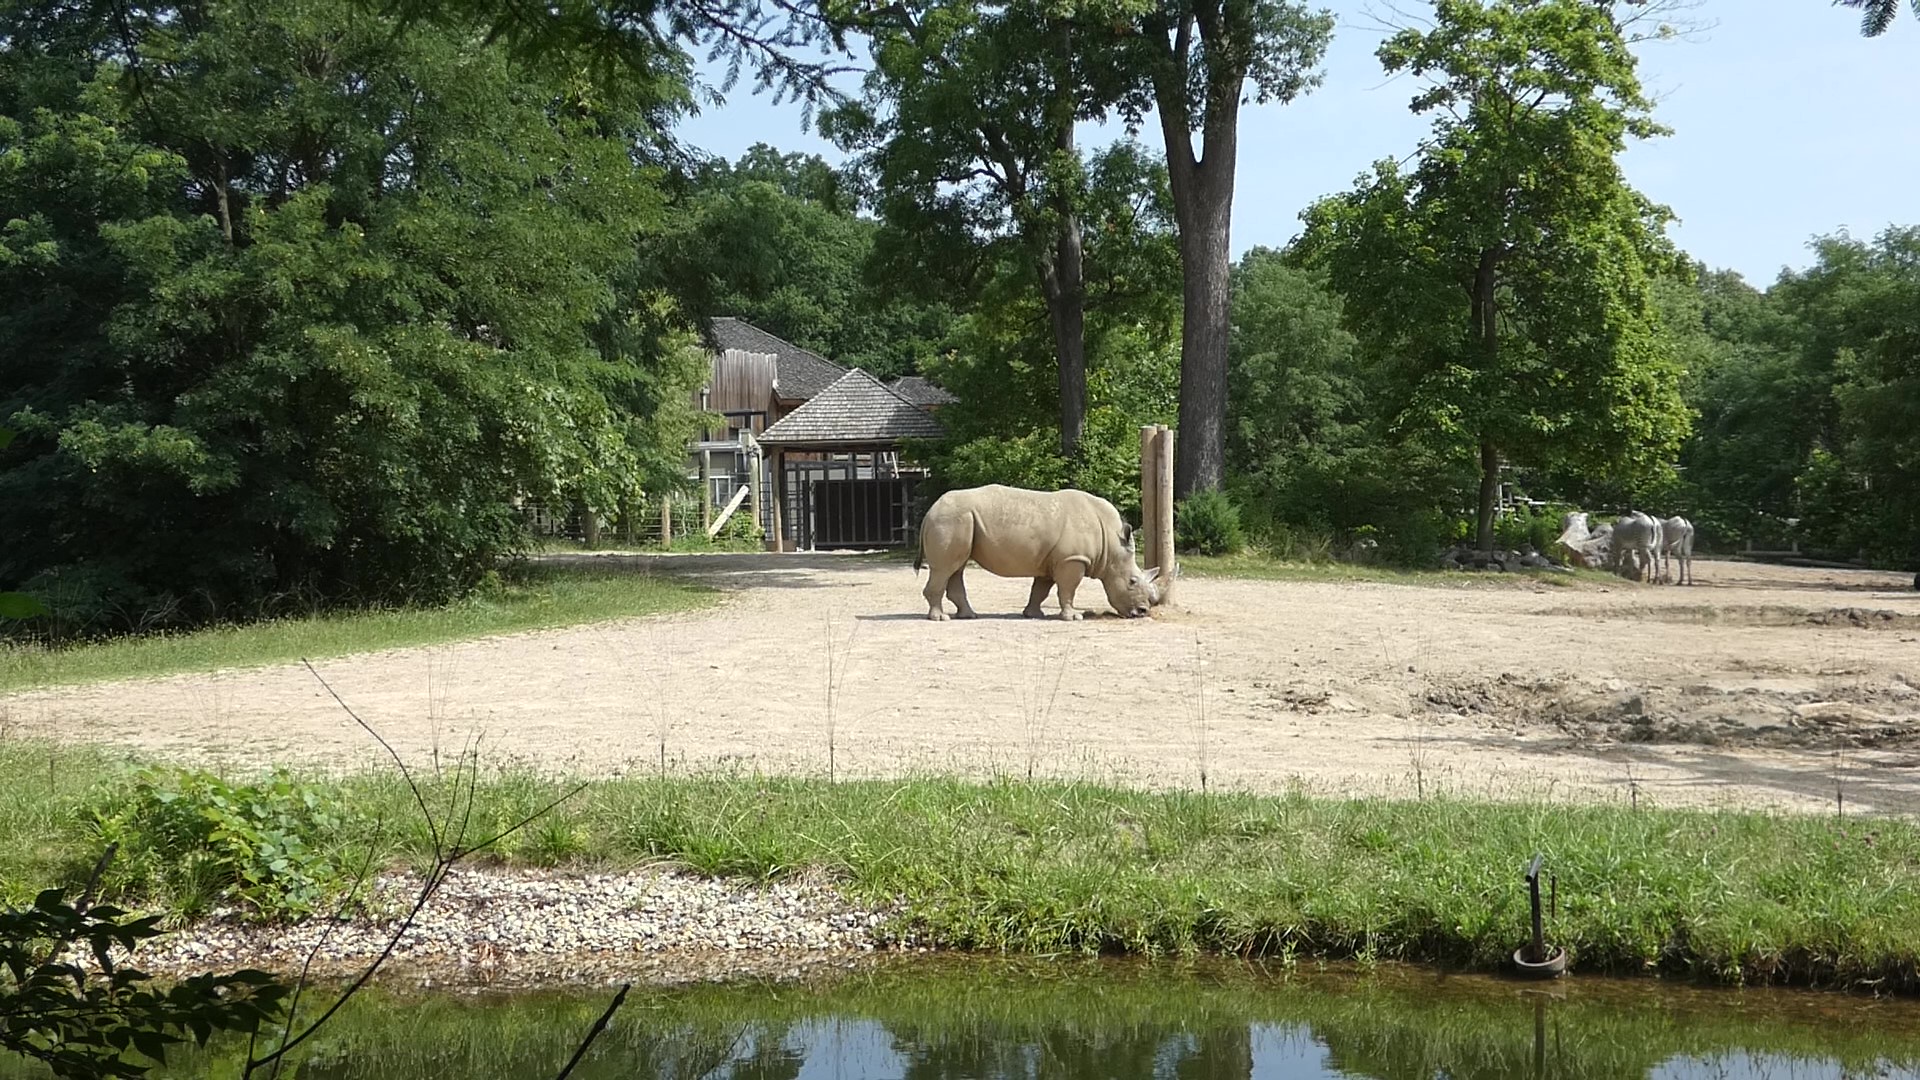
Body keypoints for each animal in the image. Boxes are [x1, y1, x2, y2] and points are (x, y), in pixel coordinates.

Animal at [914, 485, 1167, 621]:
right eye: (1132, 581)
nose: (1143, 611)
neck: (1112, 545)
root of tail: (930, 511)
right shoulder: (1072, 560)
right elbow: (1068, 589)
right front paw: (1073, 617)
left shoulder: (1053, 560)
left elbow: (1041, 590)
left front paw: (1033, 614)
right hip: (951, 520)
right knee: (945, 568)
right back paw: (941, 618)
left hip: (958, 520)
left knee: (956, 567)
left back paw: (969, 616)